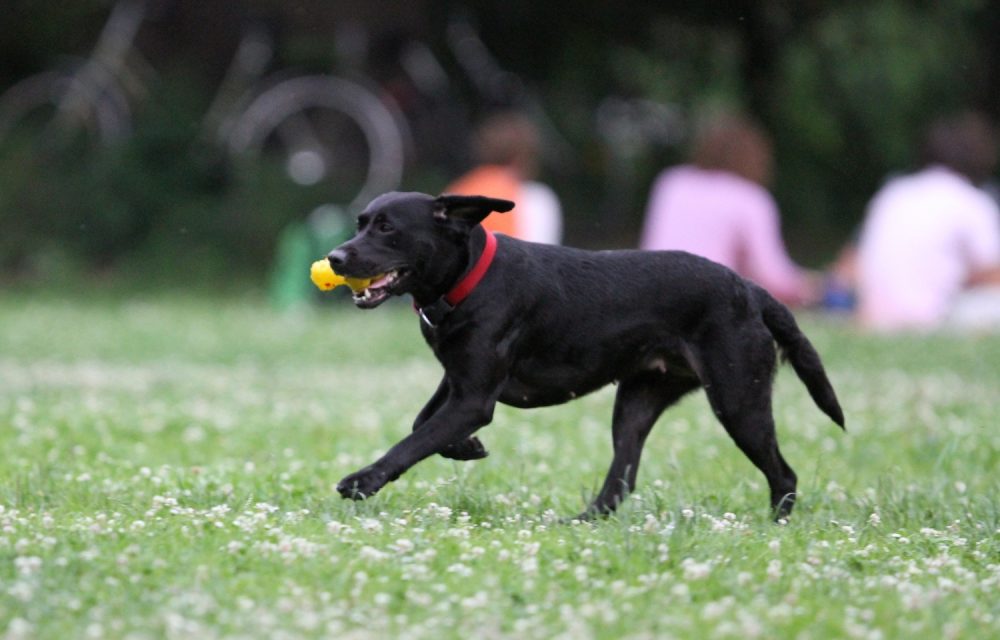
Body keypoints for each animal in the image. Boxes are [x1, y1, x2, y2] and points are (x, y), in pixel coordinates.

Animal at [328, 191, 844, 520]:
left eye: (388, 228)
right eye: (360, 223)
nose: (335, 258)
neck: (467, 279)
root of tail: (750, 290)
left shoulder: (473, 398)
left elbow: (413, 441)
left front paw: (363, 481)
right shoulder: (459, 382)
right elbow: (423, 424)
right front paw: (466, 447)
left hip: (738, 401)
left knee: (784, 474)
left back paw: (776, 527)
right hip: (637, 401)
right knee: (620, 483)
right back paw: (580, 521)